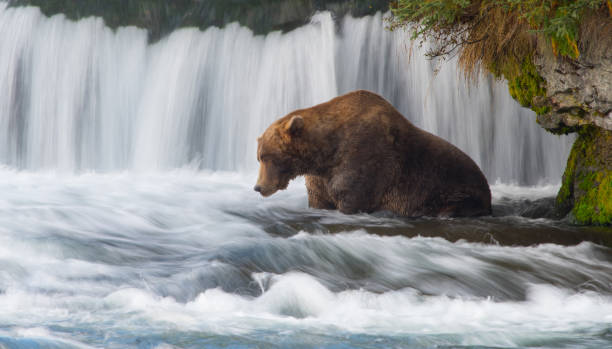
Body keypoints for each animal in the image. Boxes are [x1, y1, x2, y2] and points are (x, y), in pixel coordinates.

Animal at [253, 88, 492, 216]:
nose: (258, 187)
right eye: (259, 157)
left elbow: (353, 197)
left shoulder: (365, 161)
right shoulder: (319, 179)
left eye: (266, 157)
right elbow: (319, 200)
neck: (325, 154)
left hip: (455, 187)